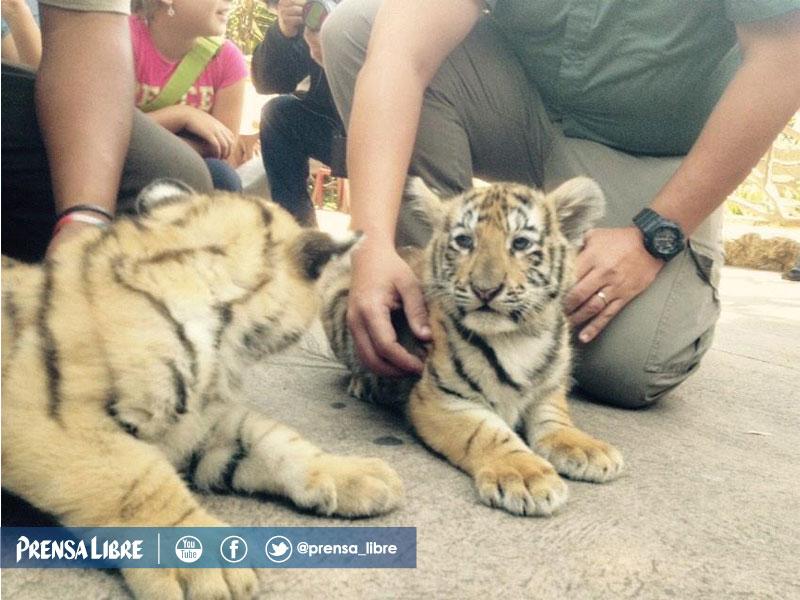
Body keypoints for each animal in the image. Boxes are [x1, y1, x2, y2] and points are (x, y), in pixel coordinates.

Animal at [1, 181, 403, 600]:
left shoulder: (195, 423)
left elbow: (271, 439)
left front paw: (354, 473)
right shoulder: (50, 419)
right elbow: (138, 481)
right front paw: (204, 562)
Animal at [322, 178, 624, 518]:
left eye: (520, 243)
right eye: (465, 241)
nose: (485, 289)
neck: (517, 337)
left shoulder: (548, 390)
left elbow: (555, 419)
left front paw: (587, 448)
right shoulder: (442, 398)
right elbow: (488, 434)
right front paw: (525, 475)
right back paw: (364, 385)